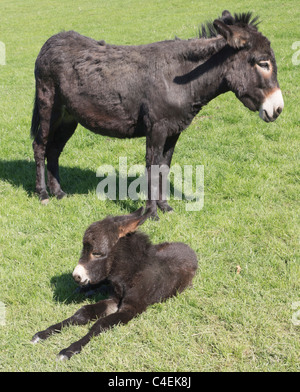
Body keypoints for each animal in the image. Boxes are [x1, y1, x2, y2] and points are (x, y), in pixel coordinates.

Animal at [31, 207, 198, 360]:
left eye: (97, 253)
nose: (76, 276)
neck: (133, 270)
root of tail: (189, 248)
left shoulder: (131, 308)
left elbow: (101, 323)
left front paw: (70, 349)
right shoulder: (113, 299)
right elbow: (83, 312)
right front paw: (44, 333)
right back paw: (86, 289)